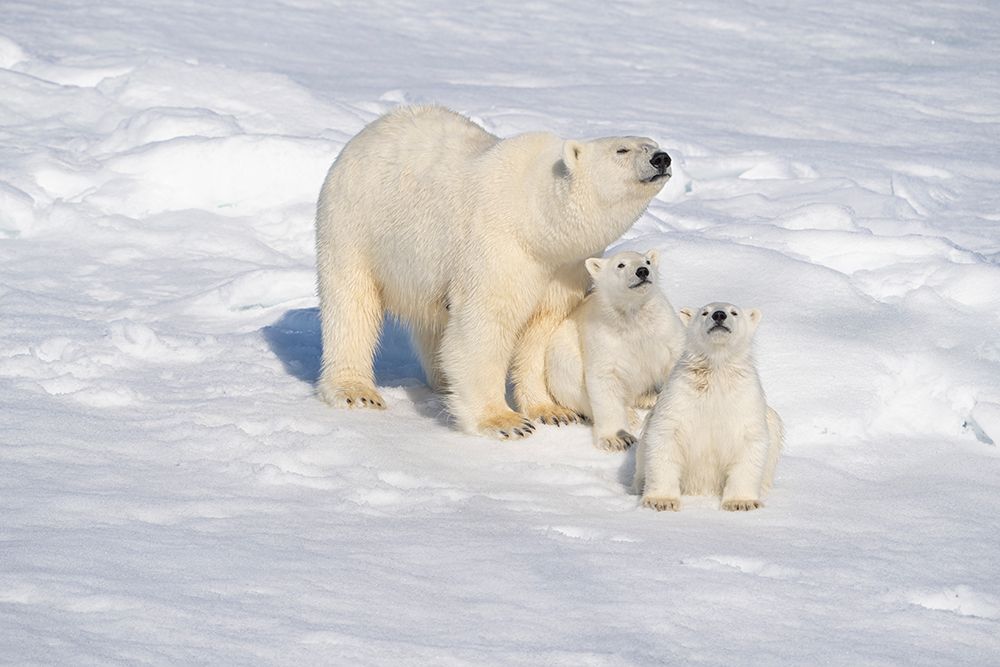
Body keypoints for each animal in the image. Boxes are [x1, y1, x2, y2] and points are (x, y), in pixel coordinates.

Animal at [314, 105, 672, 439]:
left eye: (653, 144)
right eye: (622, 150)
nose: (662, 158)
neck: (535, 219)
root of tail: (367, 132)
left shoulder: (563, 269)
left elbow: (540, 331)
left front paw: (553, 412)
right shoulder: (499, 246)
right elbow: (485, 323)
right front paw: (505, 422)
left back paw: (442, 382)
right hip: (357, 223)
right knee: (351, 305)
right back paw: (356, 391)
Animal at [544, 249, 686, 451]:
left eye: (647, 261)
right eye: (621, 265)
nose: (642, 271)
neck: (632, 319)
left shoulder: (664, 328)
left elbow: (676, 358)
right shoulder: (604, 338)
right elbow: (604, 379)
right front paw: (617, 439)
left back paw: (649, 397)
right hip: (560, 361)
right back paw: (632, 415)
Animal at [632, 302, 784, 511]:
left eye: (734, 312)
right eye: (705, 312)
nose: (719, 315)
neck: (717, 369)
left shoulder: (745, 398)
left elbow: (750, 441)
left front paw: (741, 502)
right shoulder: (679, 395)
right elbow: (665, 435)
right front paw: (661, 501)